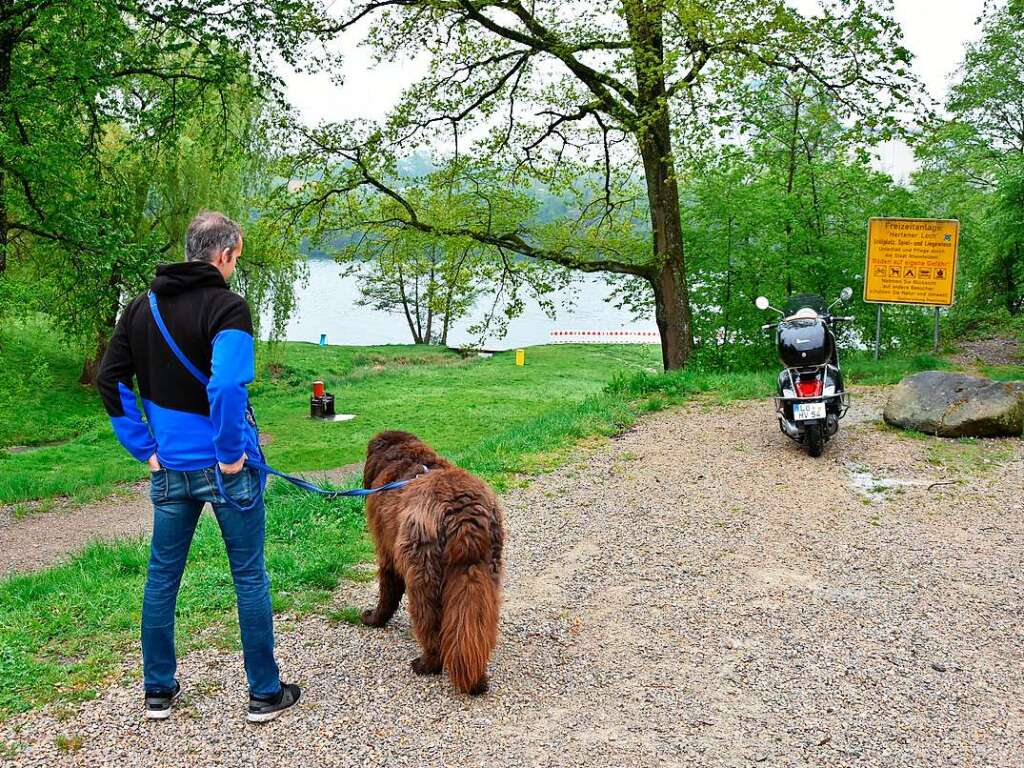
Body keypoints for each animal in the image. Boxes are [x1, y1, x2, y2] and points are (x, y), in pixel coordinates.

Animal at [360, 434, 503, 696]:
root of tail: (463, 516)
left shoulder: (387, 553)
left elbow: (387, 593)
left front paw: (373, 619)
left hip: (423, 573)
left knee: (430, 625)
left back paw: (426, 665)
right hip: (482, 572)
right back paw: (477, 679)